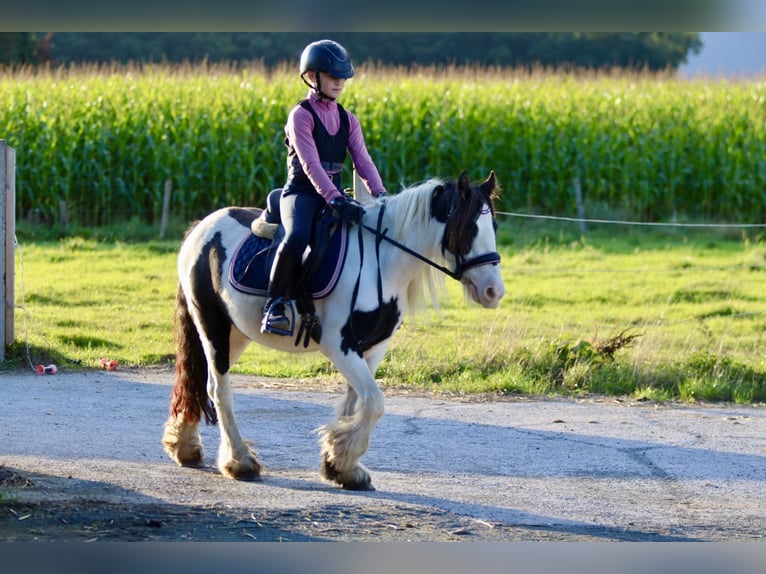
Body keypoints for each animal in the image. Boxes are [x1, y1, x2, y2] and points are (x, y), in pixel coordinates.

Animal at [162, 170, 508, 490]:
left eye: (494, 227)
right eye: (468, 228)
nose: (494, 292)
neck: (381, 261)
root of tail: (201, 228)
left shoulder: (372, 347)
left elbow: (358, 403)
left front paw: (341, 465)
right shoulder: (338, 344)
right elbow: (375, 402)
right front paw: (342, 458)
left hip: (235, 333)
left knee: (200, 380)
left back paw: (185, 447)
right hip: (211, 323)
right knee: (219, 390)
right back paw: (239, 461)